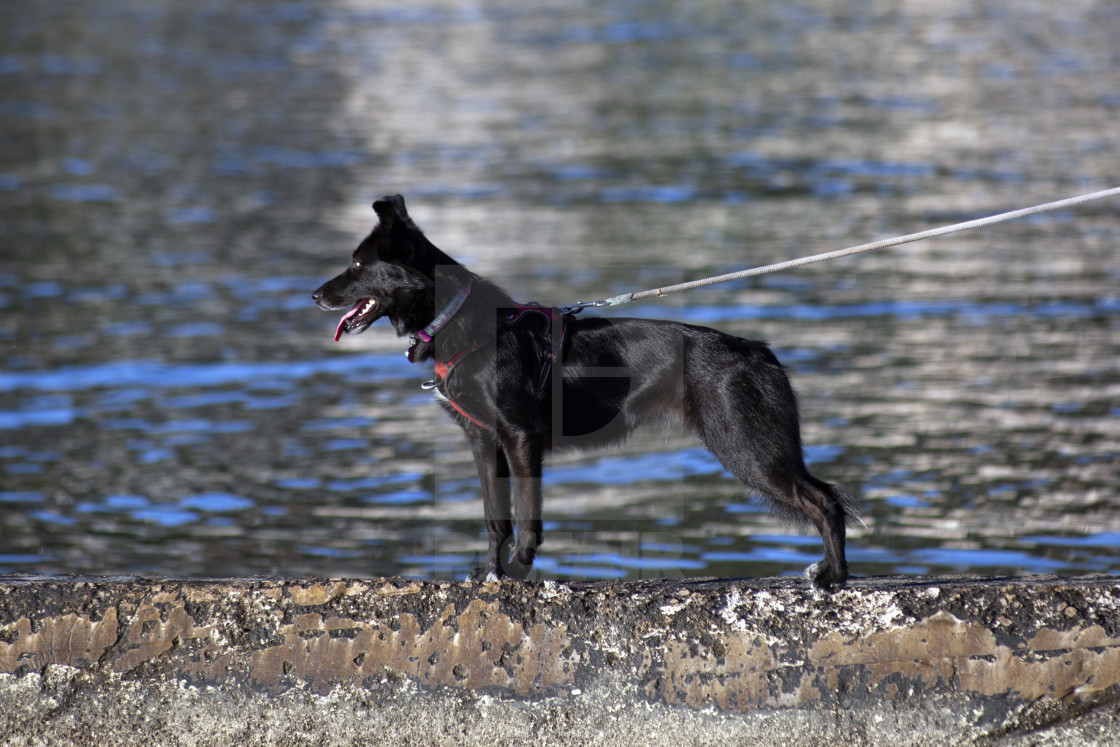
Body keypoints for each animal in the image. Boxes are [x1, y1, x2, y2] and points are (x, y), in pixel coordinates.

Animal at [312, 195, 861, 590]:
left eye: (357, 265)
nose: (315, 295)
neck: (459, 321)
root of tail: (758, 351)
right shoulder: (484, 441)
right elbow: (495, 519)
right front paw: (490, 574)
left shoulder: (520, 436)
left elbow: (526, 516)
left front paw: (518, 570)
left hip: (745, 446)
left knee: (825, 502)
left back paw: (833, 577)